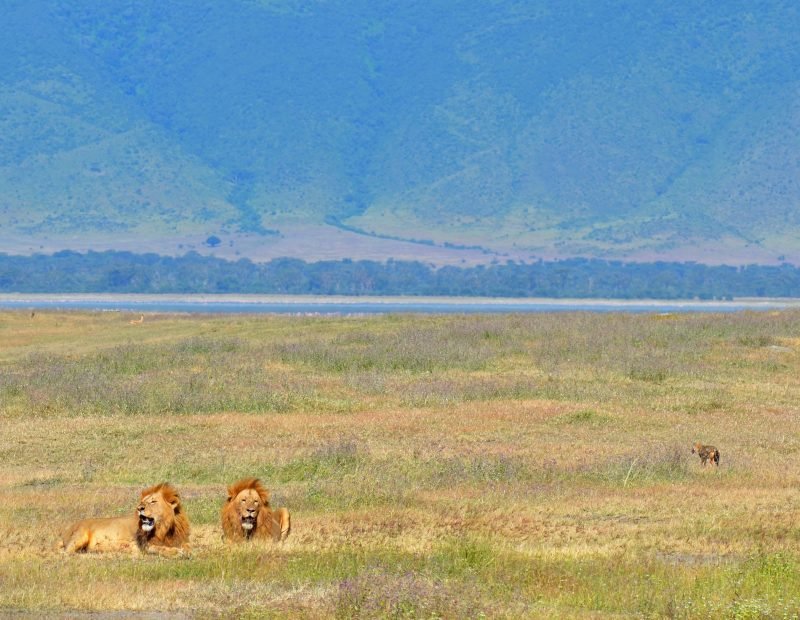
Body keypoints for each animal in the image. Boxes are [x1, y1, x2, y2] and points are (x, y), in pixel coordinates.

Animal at [60, 483, 190, 556]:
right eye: (142, 502)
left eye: (153, 501)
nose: (139, 508)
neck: (164, 529)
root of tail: (66, 531)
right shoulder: (145, 546)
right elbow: (159, 549)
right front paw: (177, 552)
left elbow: (186, 546)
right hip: (80, 535)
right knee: (66, 551)